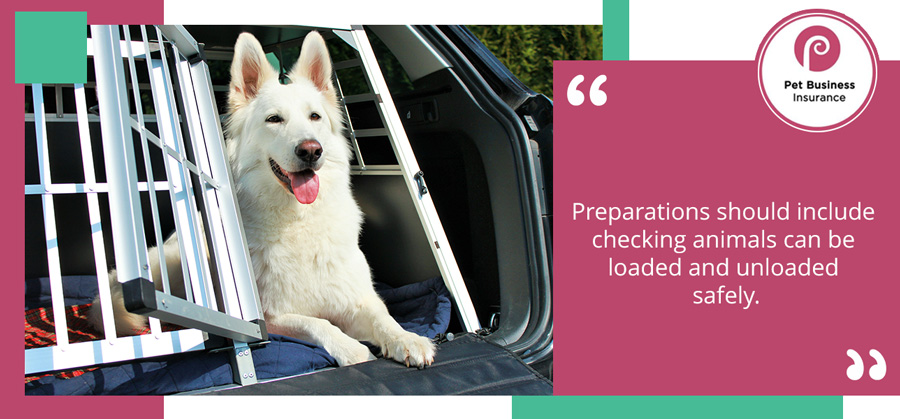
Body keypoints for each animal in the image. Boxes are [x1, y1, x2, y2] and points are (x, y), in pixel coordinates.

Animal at [89, 31, 434, 370]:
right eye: (274, 119)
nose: (311, 150)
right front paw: (351, 348)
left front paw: (408, 339)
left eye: (315, 116)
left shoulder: (357, 299)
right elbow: (318, 323)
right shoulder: (272, 317)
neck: (297, 222)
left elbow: (383, 317)